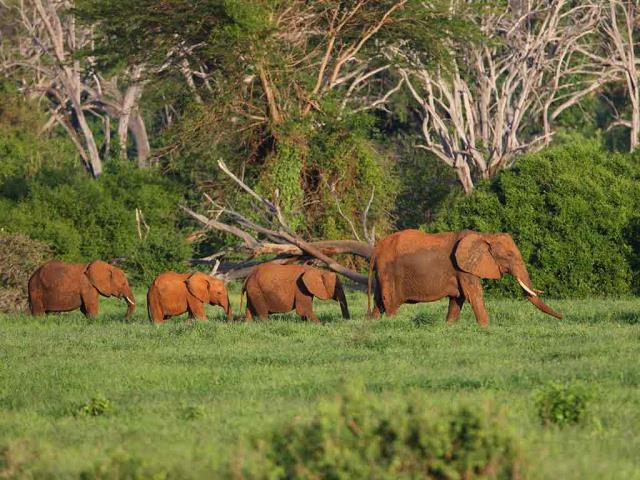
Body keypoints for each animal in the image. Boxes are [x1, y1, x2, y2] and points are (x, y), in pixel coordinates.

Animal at [367, 229, 562, 326]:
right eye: (508, 255)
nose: (562, 318)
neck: (485, 236)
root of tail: (377, 249)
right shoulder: (463, 268)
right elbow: (474, 295)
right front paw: (485, 327)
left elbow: (457, 299)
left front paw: (449, 326)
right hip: (389, 272)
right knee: (390, 304)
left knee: (378, 302)